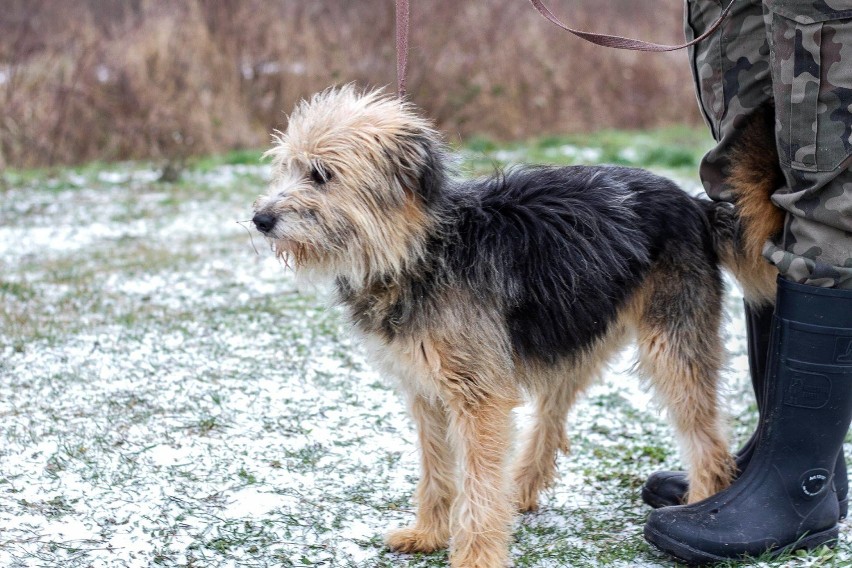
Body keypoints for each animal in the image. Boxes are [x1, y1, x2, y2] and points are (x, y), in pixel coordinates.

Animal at [251, 86, 780, 564]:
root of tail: (695, 205)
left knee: (707, 442)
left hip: (670, 344)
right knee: (551, 417)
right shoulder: (425, 391)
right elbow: (436, 470)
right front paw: (428, 534)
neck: (419, 249)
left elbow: (477, 486)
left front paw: (475, 557)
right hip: (573, 331)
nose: (260, 219)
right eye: (288, 167)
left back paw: (701, 505)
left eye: (322, 174)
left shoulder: (477, 397)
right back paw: (520, 490)